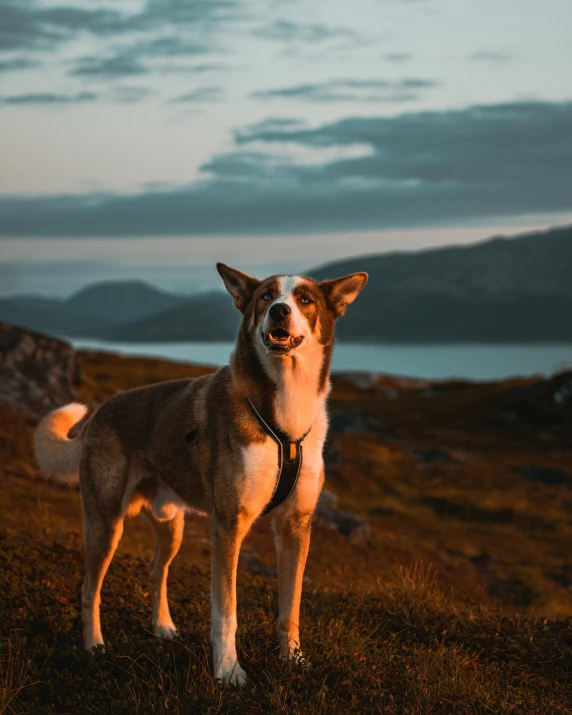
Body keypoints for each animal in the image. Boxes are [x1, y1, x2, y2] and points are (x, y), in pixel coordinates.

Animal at [33, 262, 368, 684]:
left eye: (304, 299)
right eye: (266, 296)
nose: (279, 311)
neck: (284, 408)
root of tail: (100, 412)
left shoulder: (296, 524)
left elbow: (290, 606)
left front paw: (292, 658)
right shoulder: (229, 525)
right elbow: (226, 610)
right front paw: (227, 670)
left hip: (170, 526)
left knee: (155, 569)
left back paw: (162, 626)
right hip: (105, 523)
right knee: (89, 588)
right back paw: (94, 644)